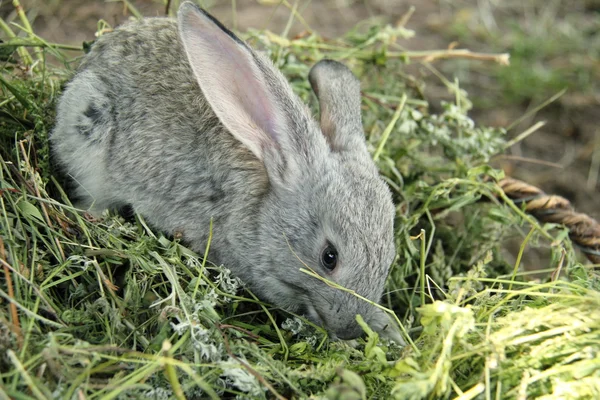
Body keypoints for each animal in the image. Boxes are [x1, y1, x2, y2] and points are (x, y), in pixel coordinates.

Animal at [49, 1, 400, 342]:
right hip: (90, 129)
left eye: (390, 257)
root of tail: (93, 58)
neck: (263, 211)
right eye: (329, 257)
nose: (350, 330)